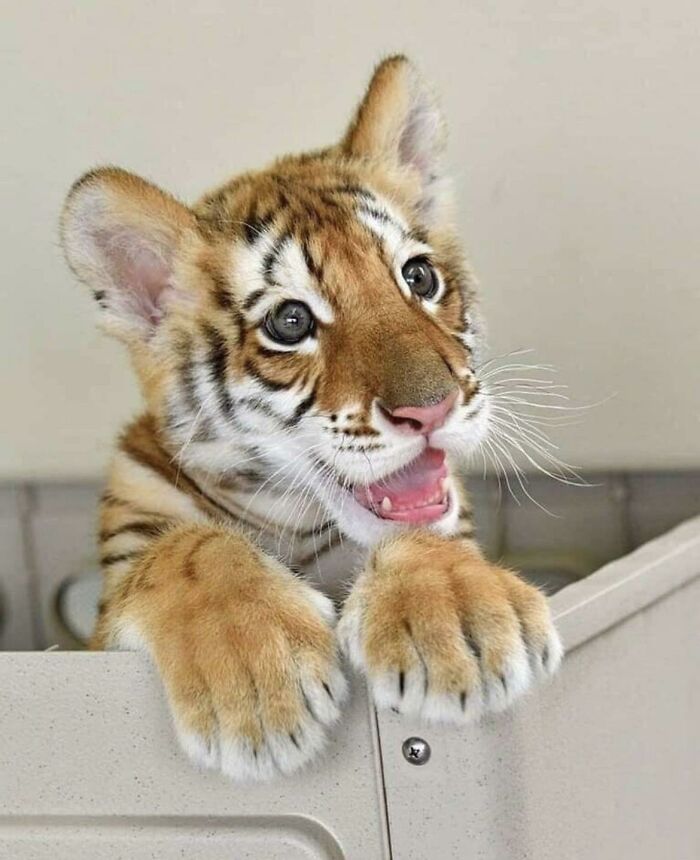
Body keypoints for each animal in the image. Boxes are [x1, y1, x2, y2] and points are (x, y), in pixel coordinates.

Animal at [60, 55, 562, 782]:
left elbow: (421, 530)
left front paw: (462, 625)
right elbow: (187, 548)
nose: (432, 407)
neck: (292, 523)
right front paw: (256, 686)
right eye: (290, 322)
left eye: (418, 278)